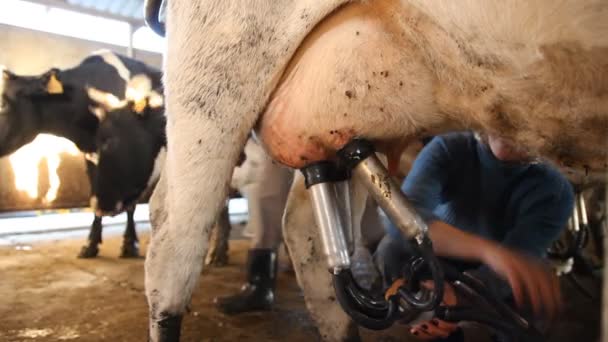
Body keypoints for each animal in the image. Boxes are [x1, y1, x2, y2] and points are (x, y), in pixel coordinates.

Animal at [0, 50, 162, 258]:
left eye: (3, 104)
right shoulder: (90, 153)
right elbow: (93, 194)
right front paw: (90, 244)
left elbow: (129, 203)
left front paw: (129, 244)